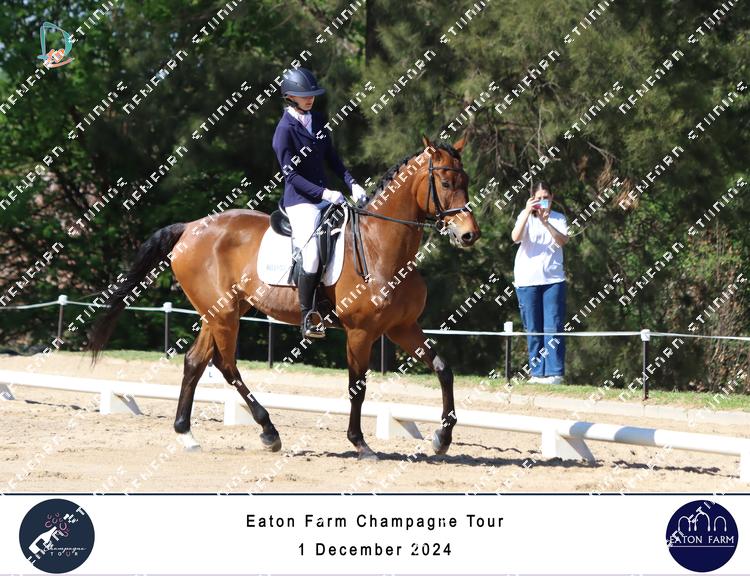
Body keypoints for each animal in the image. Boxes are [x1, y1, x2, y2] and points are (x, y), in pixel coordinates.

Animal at [88, 134, 481, 460]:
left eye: (466, 182)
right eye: (446, 183)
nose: (469, 235)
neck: (380, 245)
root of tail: (190, 228)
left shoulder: (402, 327)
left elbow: (443, 370)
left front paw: (442, 439)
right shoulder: (360, 332)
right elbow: (357, 386)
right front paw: (360, 442)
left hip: (219, 312)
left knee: (195, 362)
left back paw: (187, 434)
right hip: (224, 314)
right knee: (226, 365)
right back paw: (269, 431)